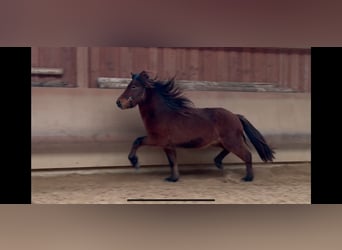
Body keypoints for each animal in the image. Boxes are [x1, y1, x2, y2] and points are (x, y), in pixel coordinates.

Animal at [116, 70, 274, 182]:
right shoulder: (167, 145)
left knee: (247, 154)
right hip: (221, 142)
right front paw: (173, 178)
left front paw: (135, 162)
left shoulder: (157, 139)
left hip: (232, 141)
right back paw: (218, 163)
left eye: (134, 86)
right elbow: (172, 161)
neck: (162, 113)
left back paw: (248, 178)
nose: (119, 103)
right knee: (228, 151)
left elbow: (137, 141)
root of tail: (235, 116)